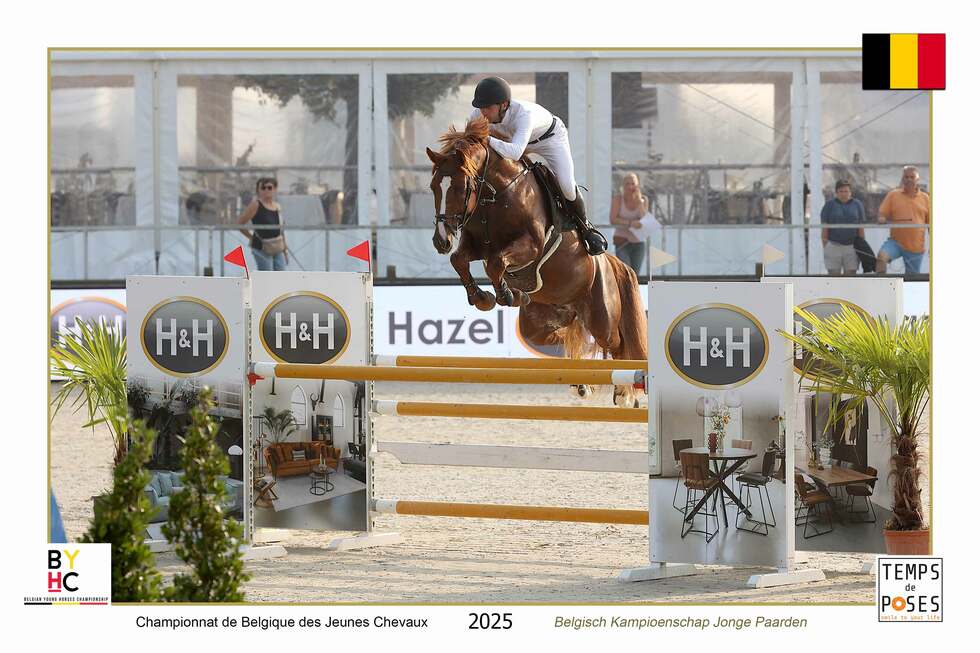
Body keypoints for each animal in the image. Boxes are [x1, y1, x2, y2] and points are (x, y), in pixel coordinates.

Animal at [426, 116, 647, 407]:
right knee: (567, 337)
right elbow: (459, 260)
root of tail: (608, 262)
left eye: (460, 188)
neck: (495, 195)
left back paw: (625, 394)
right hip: (540, 324)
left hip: (603, 319)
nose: (440, 241)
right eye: (433, 187)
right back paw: (581, 382)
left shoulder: (531, 246)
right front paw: (484, 298)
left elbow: (495, 263)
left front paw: (507, 294)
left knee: (616, 344)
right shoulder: (474, 245)